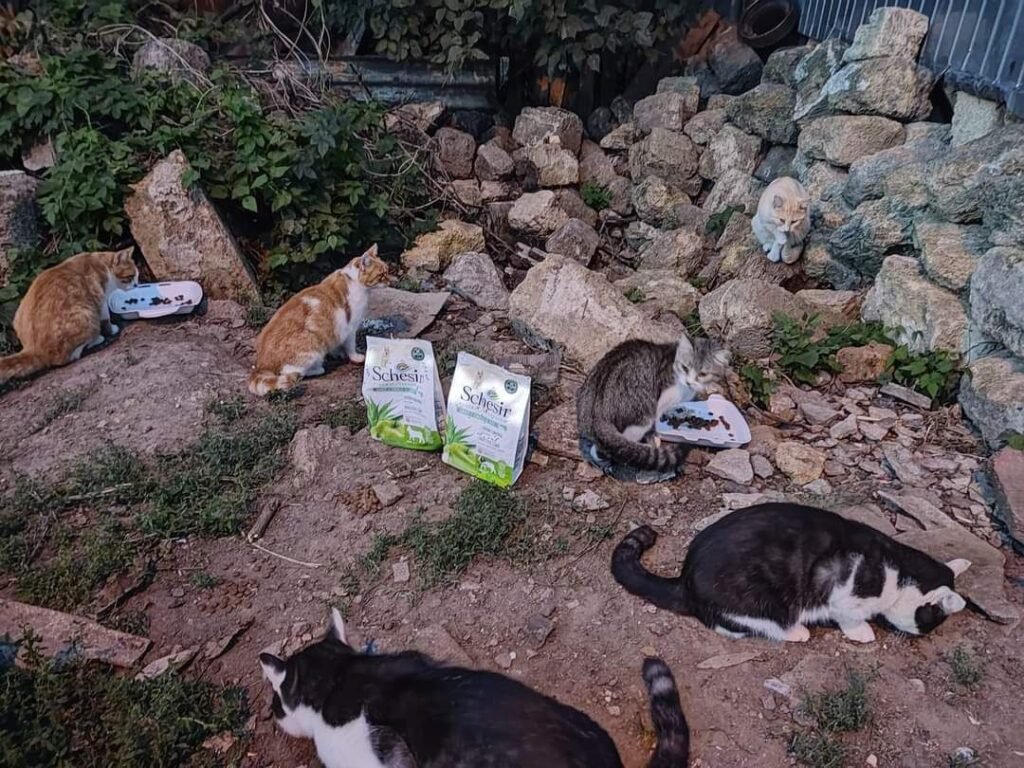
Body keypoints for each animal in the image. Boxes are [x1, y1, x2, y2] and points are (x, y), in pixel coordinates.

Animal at [0, 247, 137, 385]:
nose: (137, 285)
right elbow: (106, 319)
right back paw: (96, 339)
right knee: (67, 357)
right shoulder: (101, 297)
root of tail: (32, 349)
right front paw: (112, 329)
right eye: (131, 277)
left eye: (137, 277)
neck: (101, 264)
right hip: (85, 316)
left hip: (17, 315)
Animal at [249, 245, 389, 396]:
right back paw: (318, 368)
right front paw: (355, 357)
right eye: (381, 275)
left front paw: (338, 353)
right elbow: (350, 346)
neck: (353, 280)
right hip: (311, 347)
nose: (390, 281)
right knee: (294, 373)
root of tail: (261, 364)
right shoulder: (350, 329)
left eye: (387, 271)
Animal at [576, 334, 731, 475]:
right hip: (641, 419)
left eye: (702, 374)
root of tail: (597, 412)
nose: (689, 382)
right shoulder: (660, 401)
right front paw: (655, 437)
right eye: (685, 368)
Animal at [612, 502, 971, 644]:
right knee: (735, 624)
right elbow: (850, 617)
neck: (898, 572)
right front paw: (862, 632)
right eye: (933, 621)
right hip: (756, 600)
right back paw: (796, 631)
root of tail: (685, 577)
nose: (926, 634)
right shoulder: (843, 594)